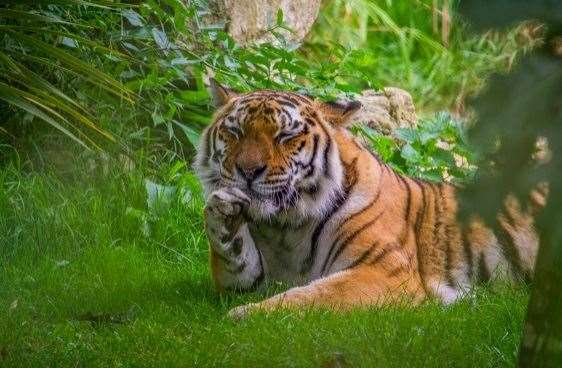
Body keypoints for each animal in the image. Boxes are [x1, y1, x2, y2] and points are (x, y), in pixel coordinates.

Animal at [195, 78, 544, 320]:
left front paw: (245, 315)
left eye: (286, 136)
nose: (247, 171)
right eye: (235, 133)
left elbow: (313, 295)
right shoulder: (250, 280)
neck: (285, 226)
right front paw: (221, 209)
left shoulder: (386, 271)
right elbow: (235, 258)